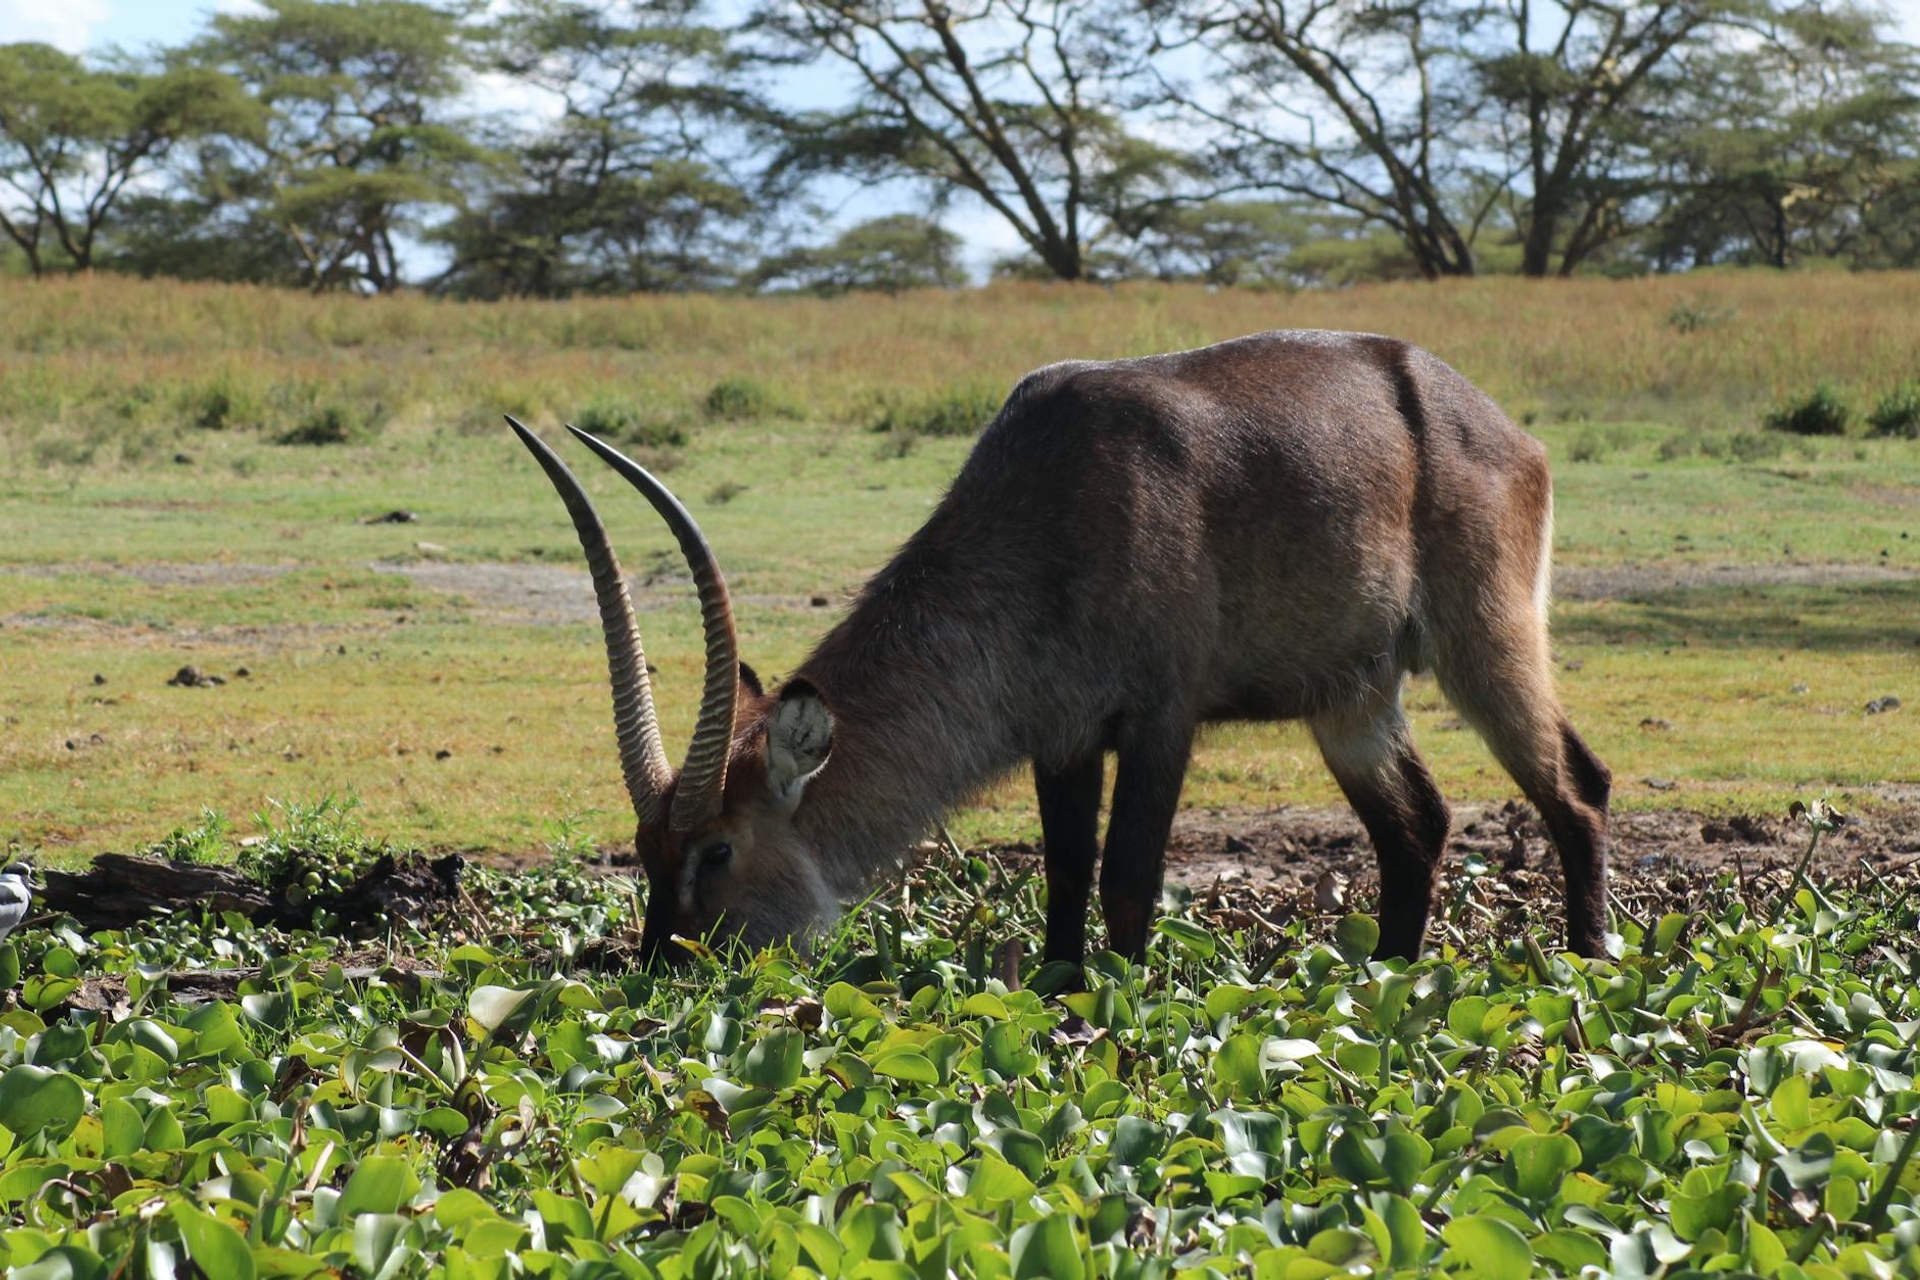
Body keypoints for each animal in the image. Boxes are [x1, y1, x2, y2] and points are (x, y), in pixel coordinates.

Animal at [507, 330, 1611, 965]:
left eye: (718, 848)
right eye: (646, 853)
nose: (664, 966)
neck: (1047, 502)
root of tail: (1488, 417)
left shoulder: (1161, 720)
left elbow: (1126, 880)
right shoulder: (1063, 736)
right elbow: (1066, 882)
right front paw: (1066, 1001)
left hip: (1484, 642)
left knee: (1576, 787)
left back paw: (1590, 966)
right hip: (1351, 698)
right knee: (1416, 825)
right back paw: (1389, 985)